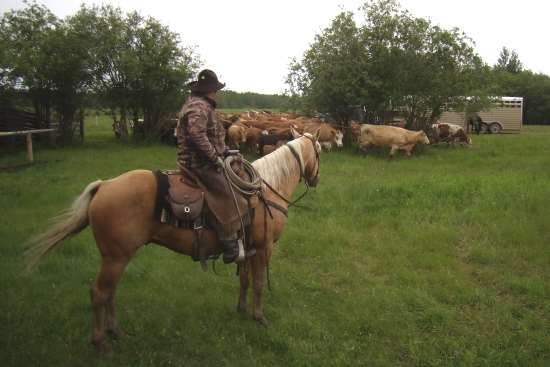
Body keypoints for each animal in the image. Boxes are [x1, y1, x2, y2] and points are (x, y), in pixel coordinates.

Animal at [24, 128, 324, 352]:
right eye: (320, 151)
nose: (316, 179)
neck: (266, 190)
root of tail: (104, 185)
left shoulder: (248, 249)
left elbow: (245, 280)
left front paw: (241, 309)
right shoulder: (263, 248)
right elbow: (259, 284)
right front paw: (259, 318)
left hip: (115, 258)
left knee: (109, 292)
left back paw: (116, 332)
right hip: (116, 257)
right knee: (99, 293)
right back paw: (100, 342)